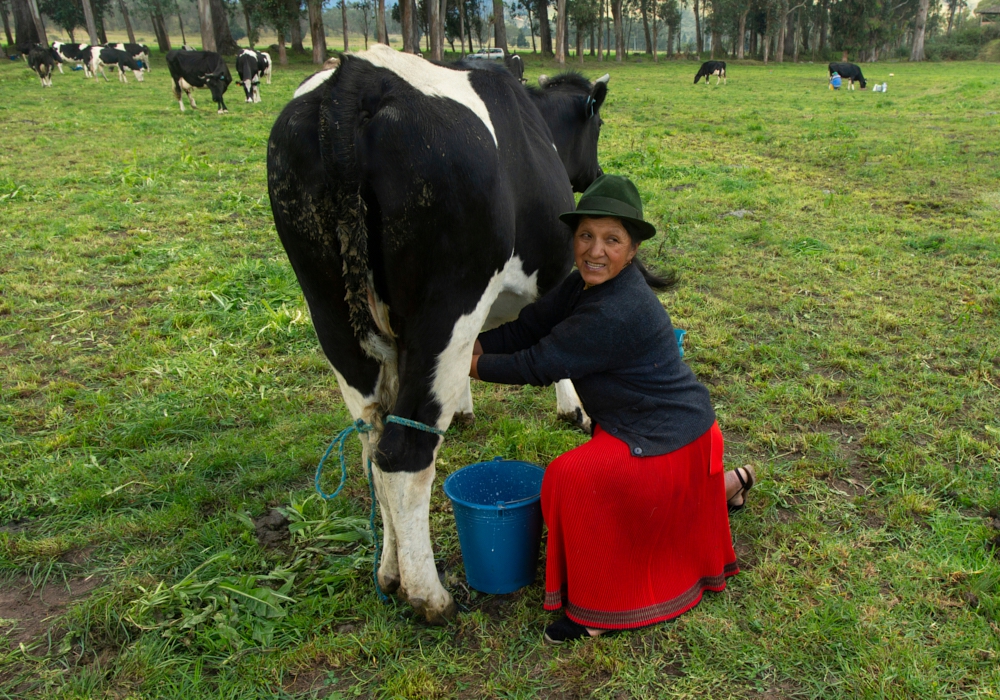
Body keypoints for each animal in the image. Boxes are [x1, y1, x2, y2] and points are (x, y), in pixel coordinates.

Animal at [268, 43, 608, 624]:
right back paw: (429, 596)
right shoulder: (555, 275)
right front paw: (576, 410)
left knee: (373, 446)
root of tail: (357, 78)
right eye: (599, 126)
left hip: (329, 309)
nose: (599, 172)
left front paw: (467, 406)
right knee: (405, 452)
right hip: (447, 300)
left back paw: (389, 571)